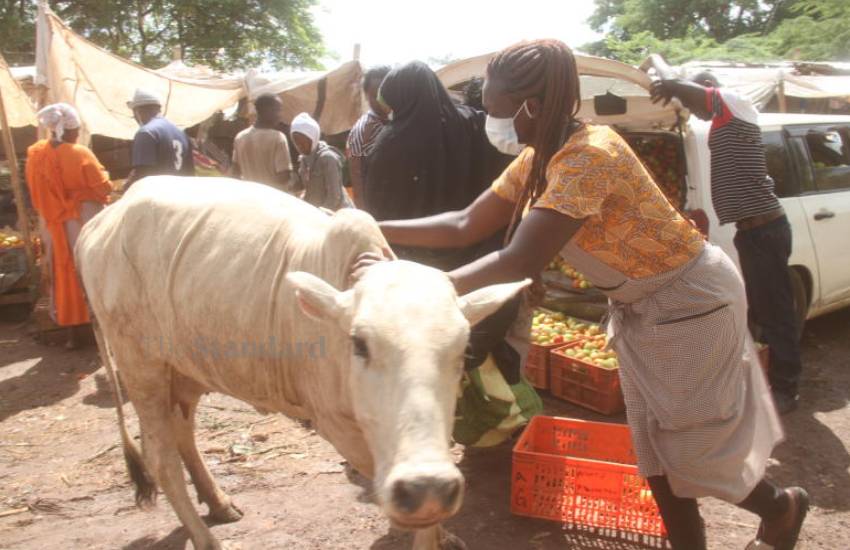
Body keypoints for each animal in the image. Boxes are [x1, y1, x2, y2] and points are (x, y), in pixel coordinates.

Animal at [75, 177, 529, 550]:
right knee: (161, 458)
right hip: (140, 364)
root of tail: (100, 222)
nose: (426, 488)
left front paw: (438, 531)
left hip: (185, 364)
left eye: (463, 351)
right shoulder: (337, 425)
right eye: (359, 344)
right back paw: (205, 537)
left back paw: (218, 502)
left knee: (182, 431)